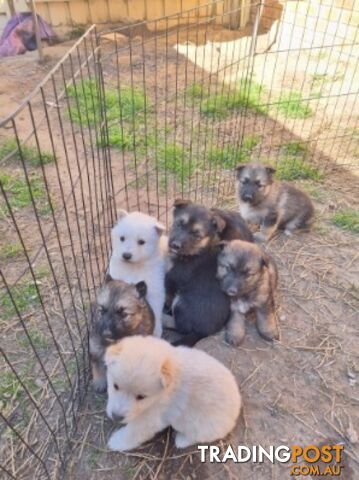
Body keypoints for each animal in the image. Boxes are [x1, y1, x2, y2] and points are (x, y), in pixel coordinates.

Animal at [105, 336, 243, 452]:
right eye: (115, 386)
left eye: (141, 397)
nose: (116, 417)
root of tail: (237, 410)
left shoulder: (151, 417)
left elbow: (133, 432)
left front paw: (116, 442)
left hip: (203, 426)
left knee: (197, 436)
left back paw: (181, 440)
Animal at [109, 210, 168, 338]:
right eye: (122, 238)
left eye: (141, 242)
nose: (126, 255)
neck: (133, 267)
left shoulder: (154, 288)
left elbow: (156, 309)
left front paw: (156, 331)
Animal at [165, 197, 253, 346]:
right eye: (179, 224)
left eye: (196, 235)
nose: (175, 245)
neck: (199, 251)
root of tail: (202, 333)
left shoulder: (173, 278)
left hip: (181, 302)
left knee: (180, 326)